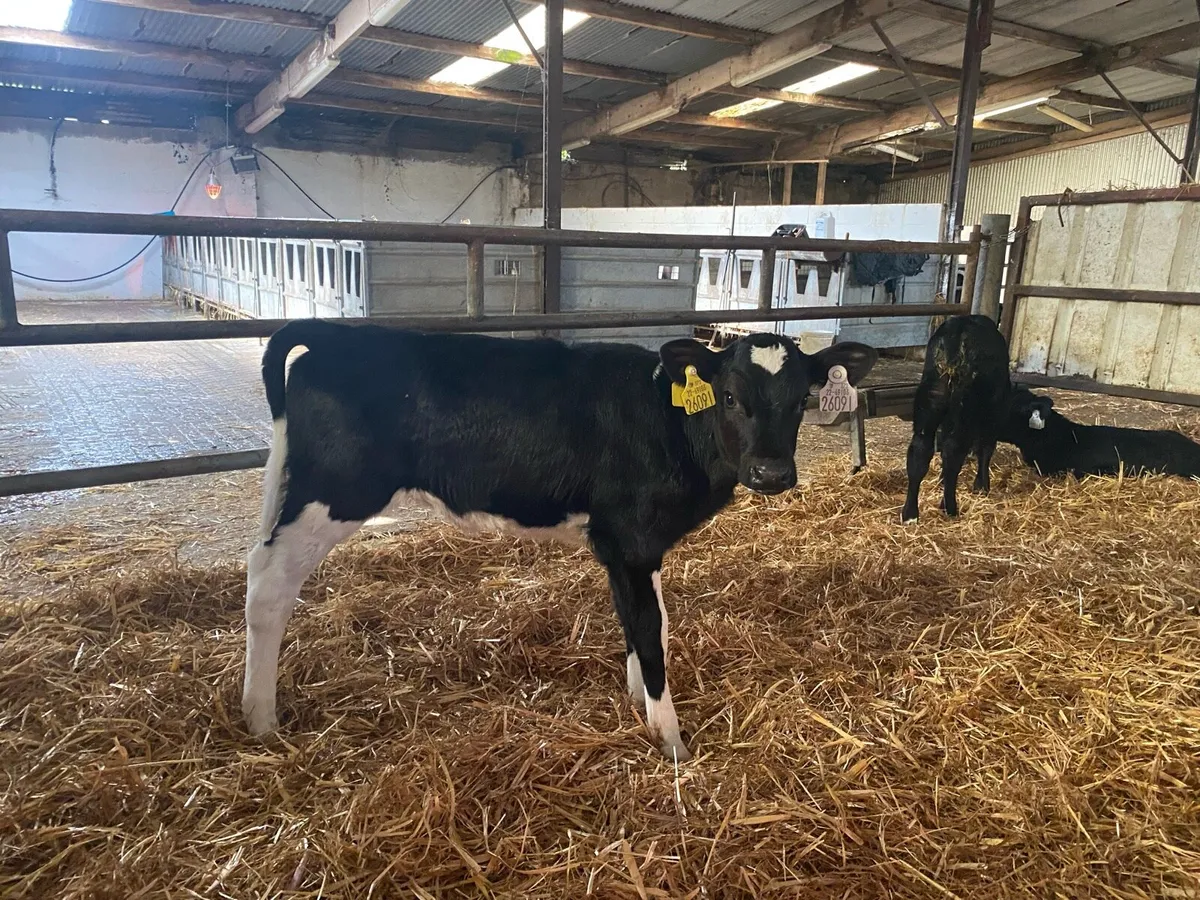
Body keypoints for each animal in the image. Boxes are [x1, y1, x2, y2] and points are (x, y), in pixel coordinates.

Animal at [242, 320, 878, 761]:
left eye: (803, 398)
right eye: (728, 396)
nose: (772, 474)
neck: (667, 420)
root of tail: (332, 336)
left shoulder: (626, 546)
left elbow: (641, 622)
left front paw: (638, 704)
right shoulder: (631, 538)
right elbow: (650, 629)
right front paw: (671, 738)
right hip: (333, 493)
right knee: (268, 585)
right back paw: (261, 718)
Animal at [902, 315, 1011, 523]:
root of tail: (959, 328)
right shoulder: (993, 414)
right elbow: (986, 449)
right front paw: (982, 485)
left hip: (931, 399)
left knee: (920, 451)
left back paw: (910, 514)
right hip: (966, 407)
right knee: (953, 452)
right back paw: (949, 507)